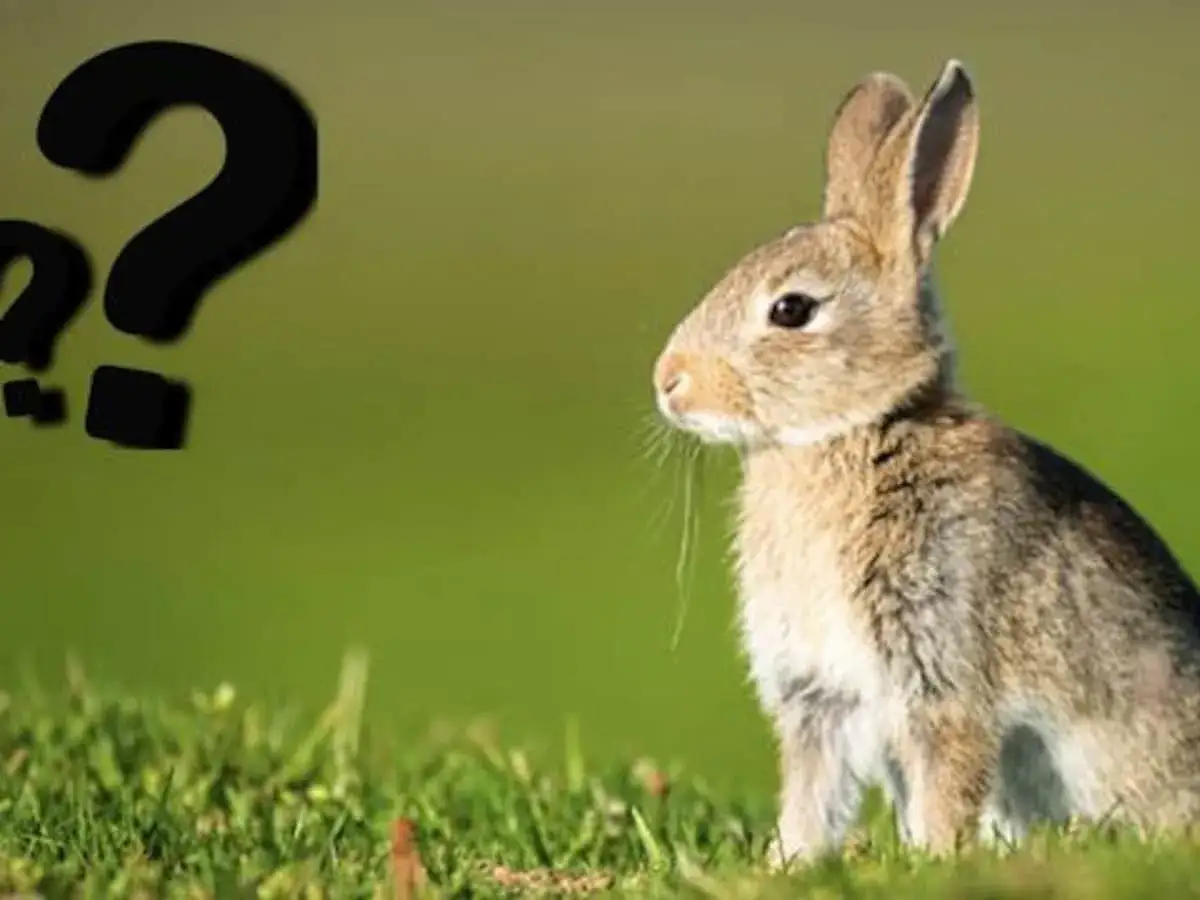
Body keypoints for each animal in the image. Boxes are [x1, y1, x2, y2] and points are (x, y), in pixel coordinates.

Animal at [650, 58, 1200, 867]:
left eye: (791, 310)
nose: (669, 382)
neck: (853, 432)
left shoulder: (942, 670)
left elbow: (948, 776)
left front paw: (934, 859)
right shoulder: (818, 695)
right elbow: (812, 795)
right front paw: (789, 864)